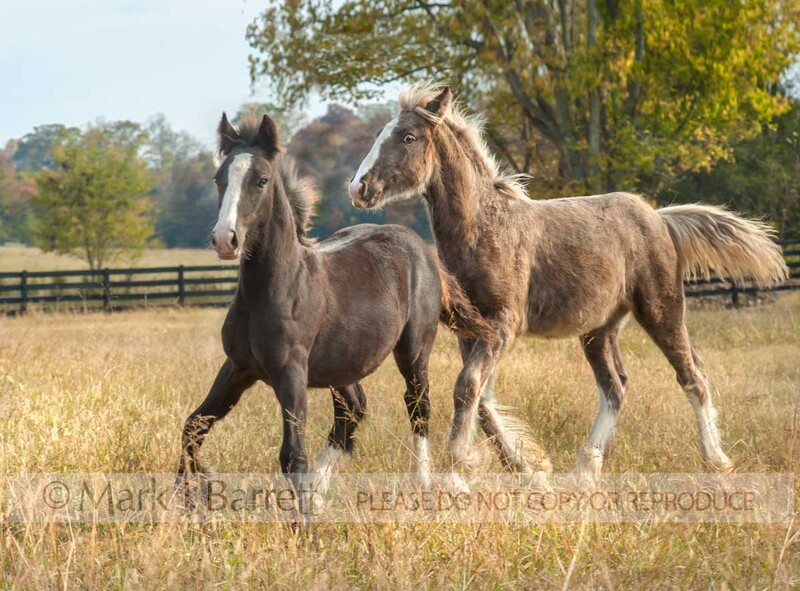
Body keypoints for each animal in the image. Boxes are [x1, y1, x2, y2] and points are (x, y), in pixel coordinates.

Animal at [176, 111, 488, 511]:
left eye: (261, 180)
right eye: (219, 178)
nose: (224, 240)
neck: (274, 290)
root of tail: (419, 245)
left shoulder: (290, 373)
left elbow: (293, 455)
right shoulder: (238, 368)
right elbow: (193, 426)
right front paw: (190, 495)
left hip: (414, 349)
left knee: (418, 405)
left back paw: (422, 484)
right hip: (343, 364)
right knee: (352, 410)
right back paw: (322, 492)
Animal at [348, 81, 789, 489]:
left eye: (408, 137)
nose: (358, 188)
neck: (484, 228)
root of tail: (660, 218)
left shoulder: (503, 325)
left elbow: (467, 388)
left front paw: (460, 471)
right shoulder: (470, 332)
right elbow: (482, 399)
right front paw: (528, 470)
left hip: (661, 308)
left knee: (692, 375)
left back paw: (716, 462)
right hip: (599, 328)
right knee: (615, 386)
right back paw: (587, 469)